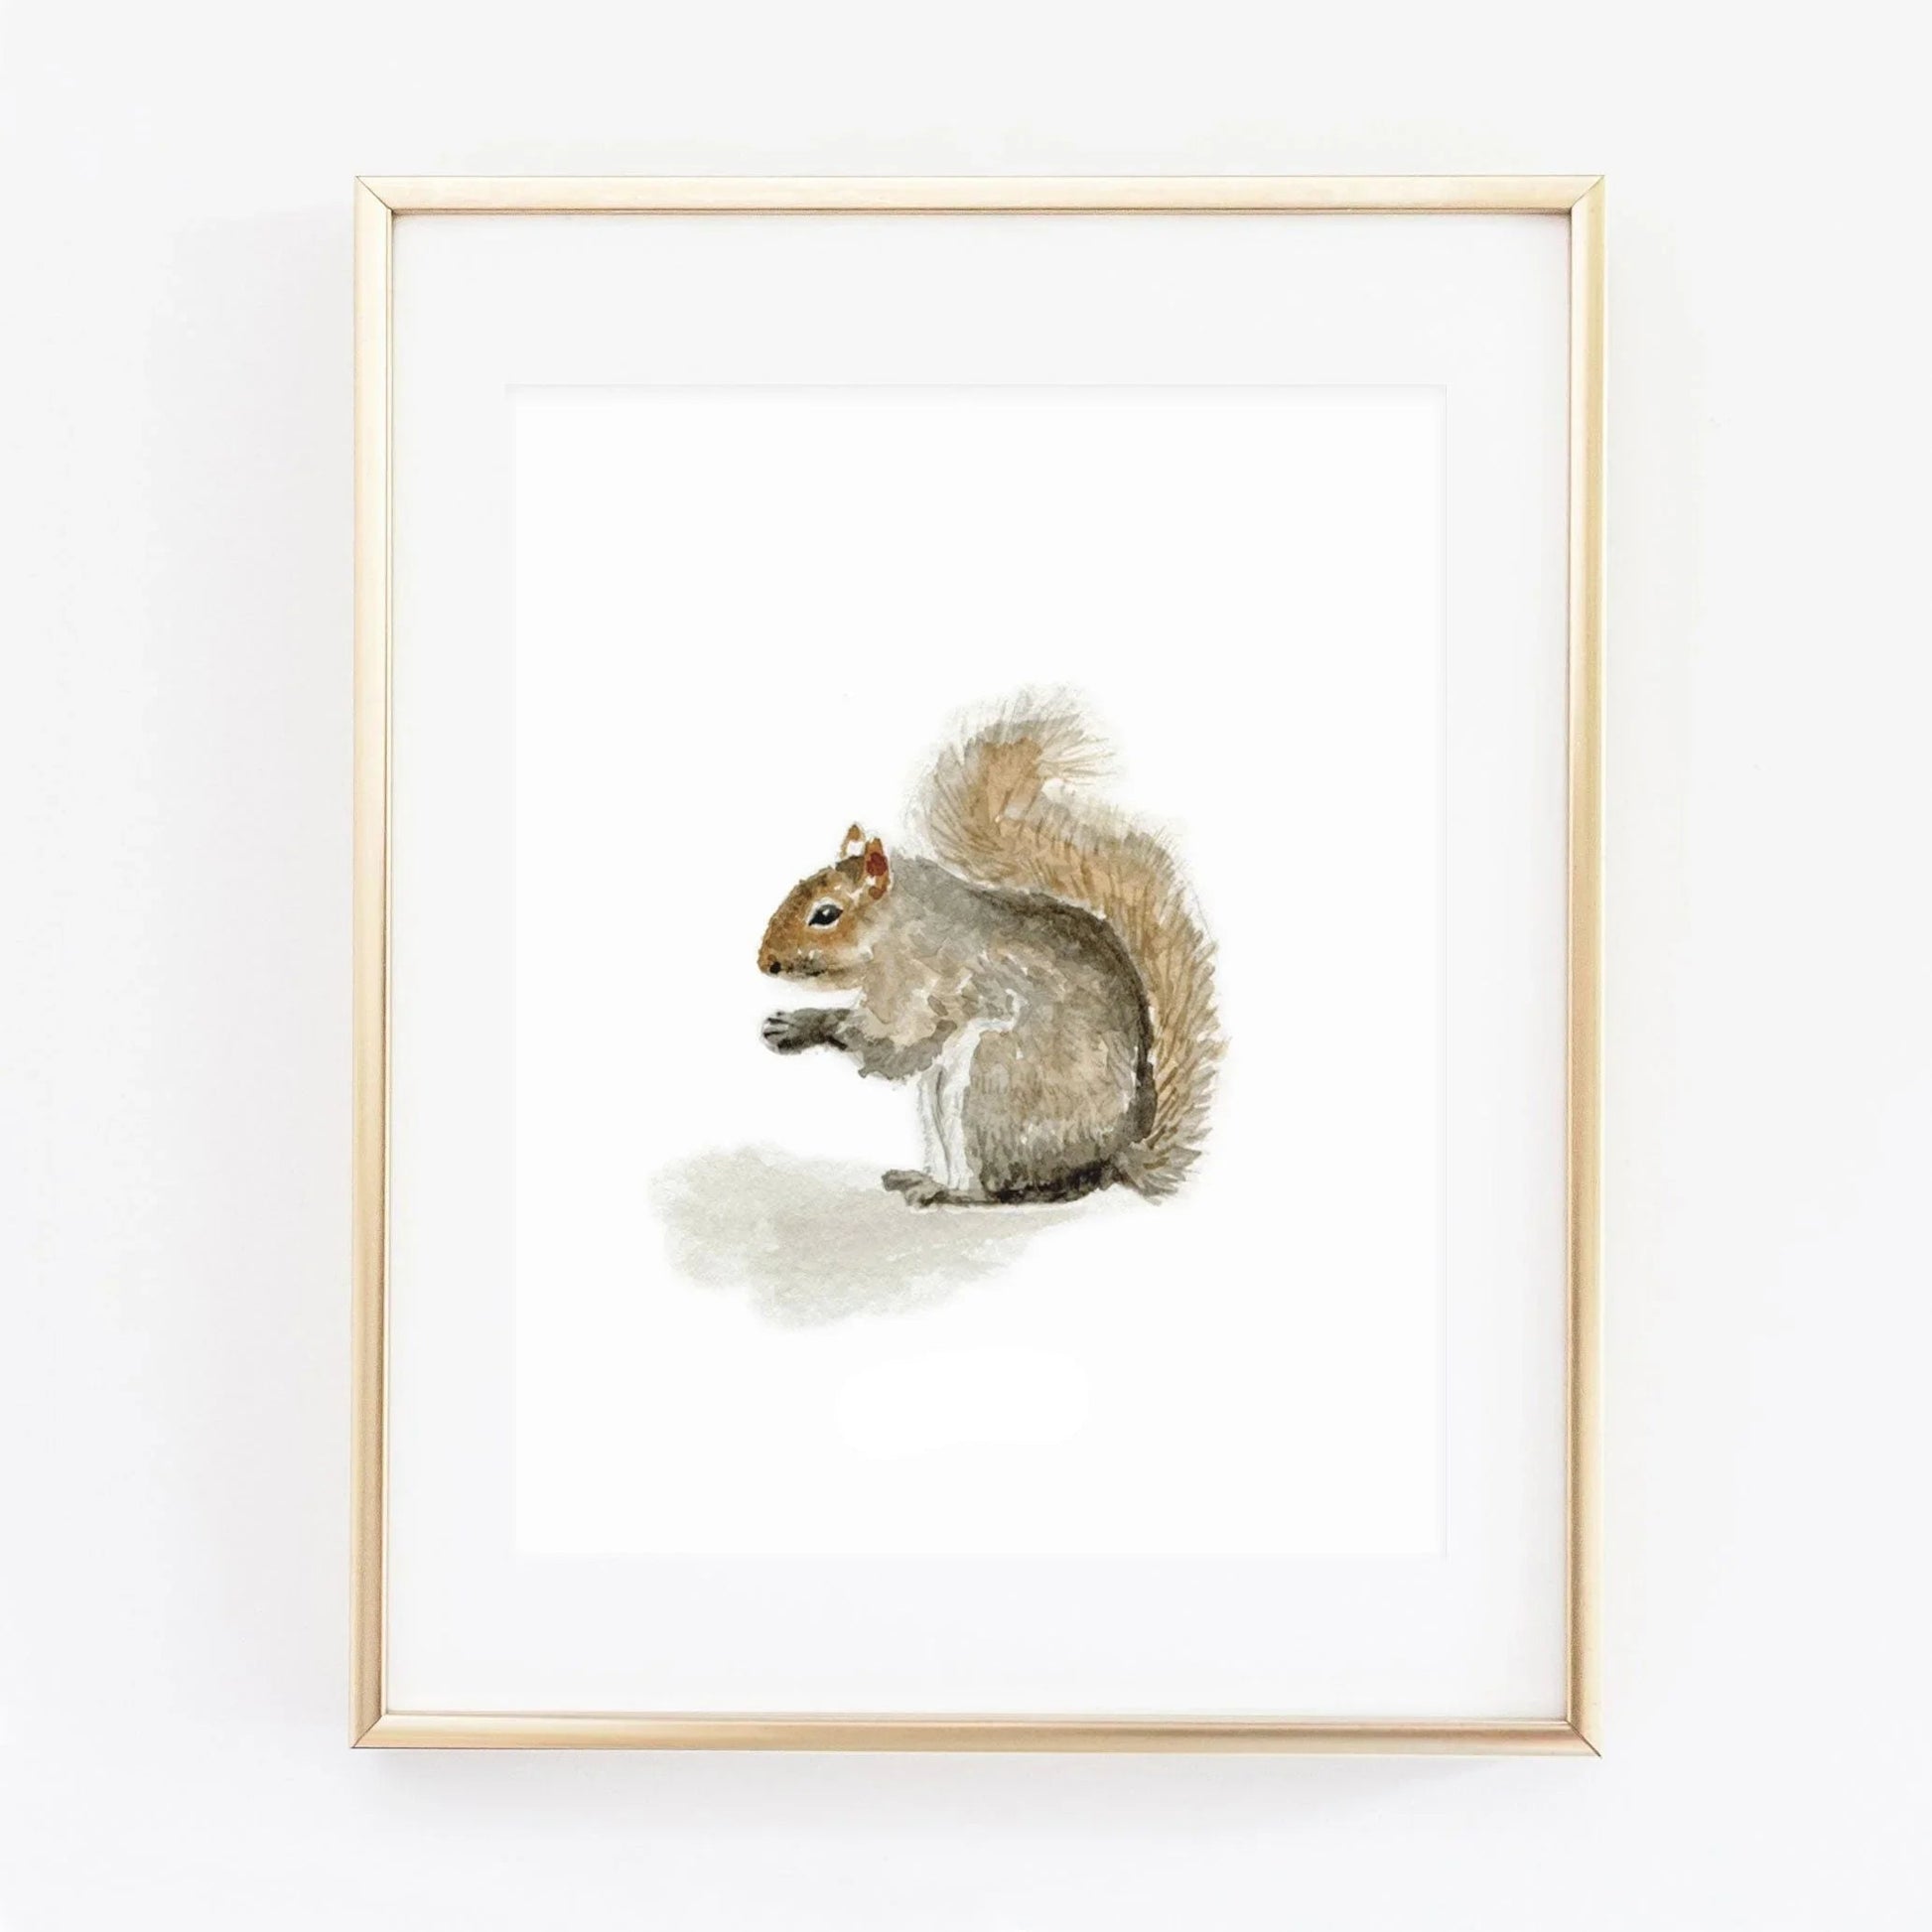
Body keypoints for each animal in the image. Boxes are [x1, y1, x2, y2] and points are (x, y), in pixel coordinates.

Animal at [757, 695, 1221, 1208]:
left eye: (825, 914)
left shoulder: (919, 990)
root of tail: (1114, 1155)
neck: (898, 928)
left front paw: (803, 1025)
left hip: (992, 1083)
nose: (764, 961)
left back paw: (939, 1190)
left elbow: (889, 1046)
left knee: (992, 1189)